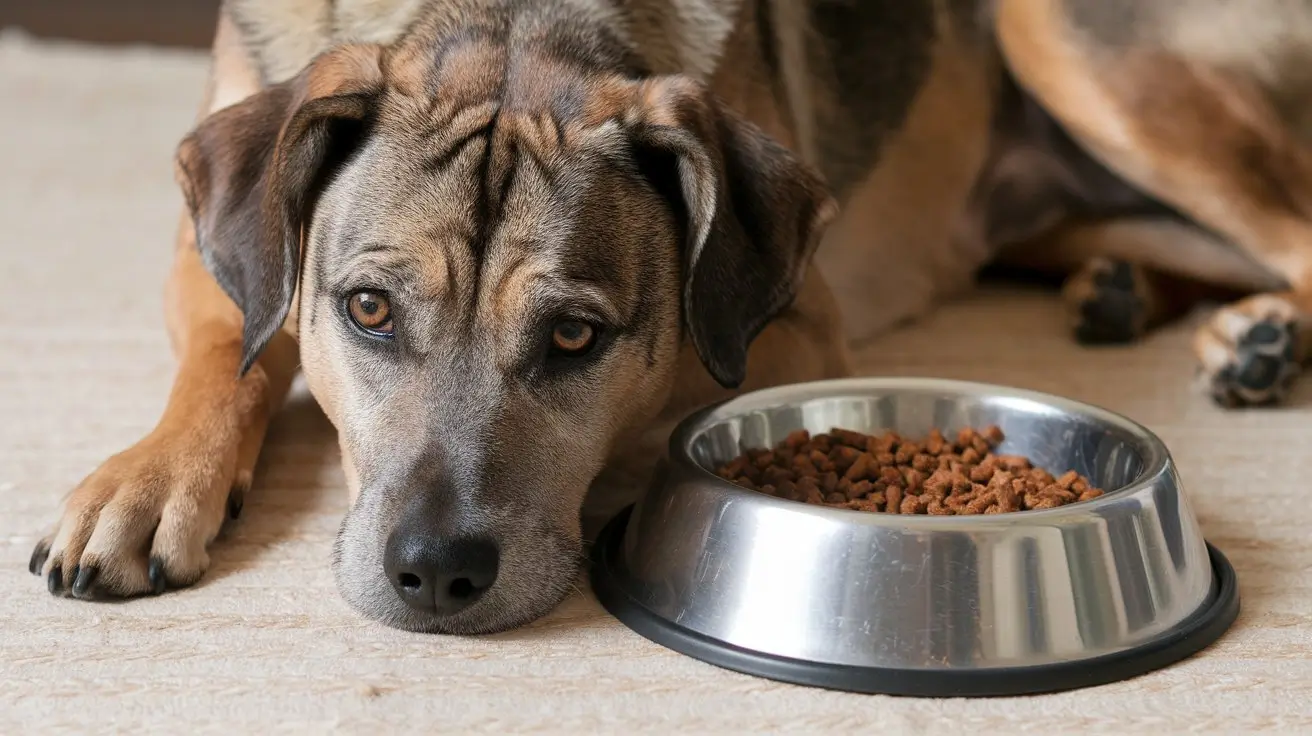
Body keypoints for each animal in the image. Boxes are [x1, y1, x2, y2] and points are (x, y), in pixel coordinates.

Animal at [25, 0, 1312, 632]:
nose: (435, 574)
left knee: (1293, 221)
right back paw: (1153, 302)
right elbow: (233, 346)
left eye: (576, 337)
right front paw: (145, 481)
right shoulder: (213, 246)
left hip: (1074, 49)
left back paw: (1259, 333)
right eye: (370, 309)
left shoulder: (786, 327)